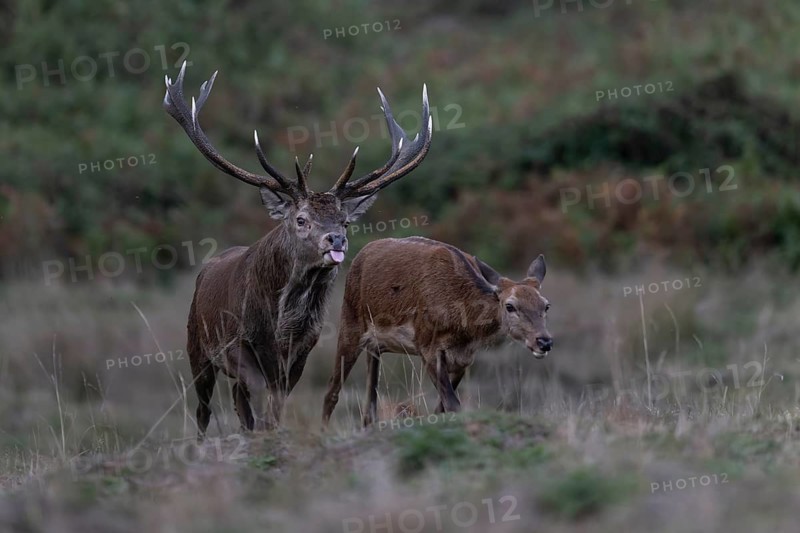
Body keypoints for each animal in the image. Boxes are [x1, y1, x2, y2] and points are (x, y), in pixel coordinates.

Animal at [163, 62, 432, 438]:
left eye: (344, 221)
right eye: (301, 219)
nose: (336, 240)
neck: (280, 326)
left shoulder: (302, 352)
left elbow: (274, 406)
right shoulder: (238, 345)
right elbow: (258, 397)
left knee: (237, 401)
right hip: (196, 347)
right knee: (204, 409)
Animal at [321, 237, 553, 427]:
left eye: (546, 305)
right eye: (510, 306)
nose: (544, 341)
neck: (463, 328)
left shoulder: (464, 359)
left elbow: (441, 408)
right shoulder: (427, 345)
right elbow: (452, 405)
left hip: (377, 345)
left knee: (369, 406)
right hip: (350, 323)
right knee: (332, 390)